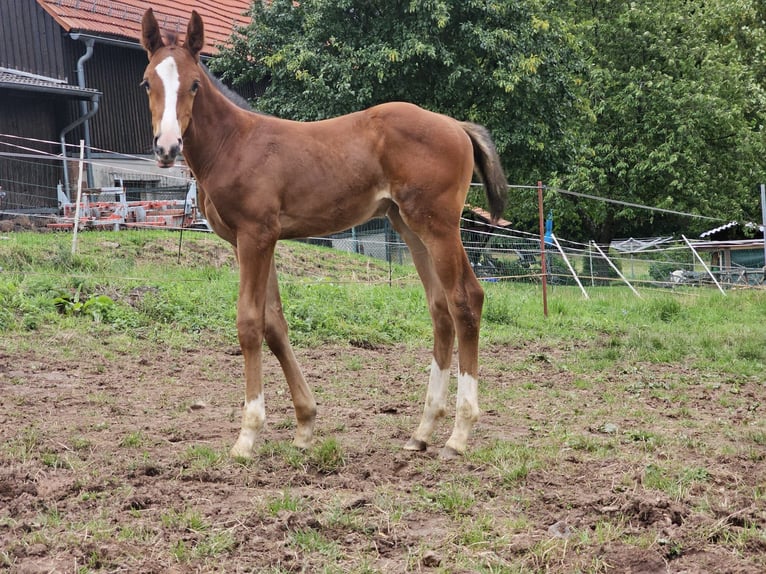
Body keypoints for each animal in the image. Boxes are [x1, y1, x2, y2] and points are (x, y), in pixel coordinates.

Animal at [141, 9, 510, 462]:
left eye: (194, 83)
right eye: (147, 82)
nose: (167, 147)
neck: (233, 144)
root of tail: (455, 125)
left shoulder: (255, 237)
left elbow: (249, 323)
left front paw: (247, 436)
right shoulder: (257, 241)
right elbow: (274, 324)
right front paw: (304, 425)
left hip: (438, 225)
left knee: (465, 300)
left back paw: (458, 435)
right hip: (409, 226)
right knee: (439, 310)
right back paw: (422, 432)